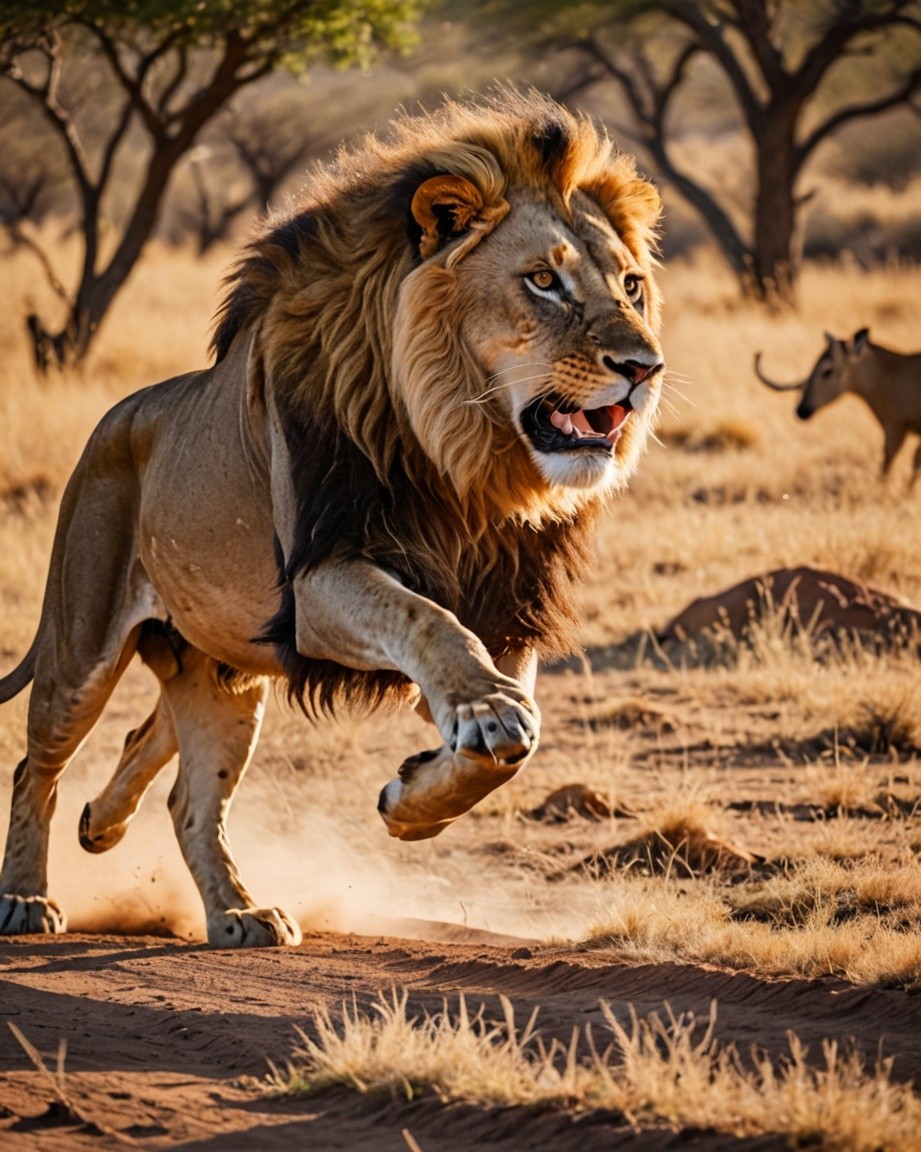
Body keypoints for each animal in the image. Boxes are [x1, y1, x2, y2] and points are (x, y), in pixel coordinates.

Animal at [0, 89, 664, 947]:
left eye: (631, 286)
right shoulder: (321, 578)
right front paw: (484, 718)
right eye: (543, 280)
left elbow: (517, 724)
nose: (644, 368)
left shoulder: (505, 608)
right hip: (81, 648)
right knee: (38, 764)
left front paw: (415, 802)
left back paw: (211, 894)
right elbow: (431, 626)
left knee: (183, 788)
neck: (467, 462)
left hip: (222, 667)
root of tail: (116, 419)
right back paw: (27, 896)